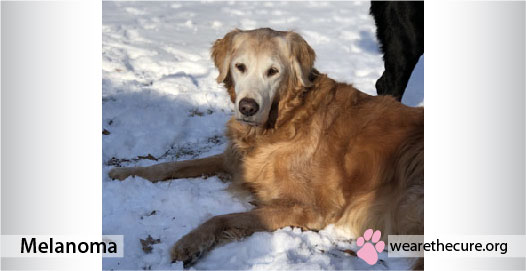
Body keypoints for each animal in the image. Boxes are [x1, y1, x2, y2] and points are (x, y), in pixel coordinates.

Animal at [109, 28, 426, 270]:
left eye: (273, 71)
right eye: (240, 67)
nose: (247, 107)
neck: (284, 120)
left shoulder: (311, 208)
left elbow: (222, 217)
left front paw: (190, 243)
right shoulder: (235, 160)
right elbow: (170, 166)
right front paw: (124, 172)